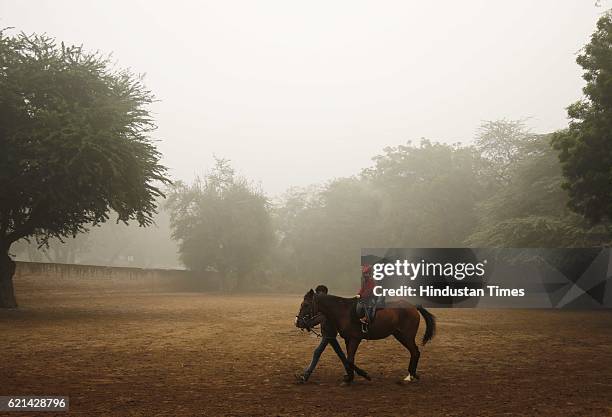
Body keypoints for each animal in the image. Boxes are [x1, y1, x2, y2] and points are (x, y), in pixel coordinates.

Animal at [296, 290, 436, 382]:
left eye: (306, 305)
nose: (297, 322)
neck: (343, 311)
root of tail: (413, 306)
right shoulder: (348, 339)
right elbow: (348, 358)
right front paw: (350, 376)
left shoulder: (355, 339)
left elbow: (349, 359)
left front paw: (362, 375)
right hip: (400, 336)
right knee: (414, 352)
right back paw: (412, 374)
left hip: (407, 336)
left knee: (415, 352)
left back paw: (412, 375)